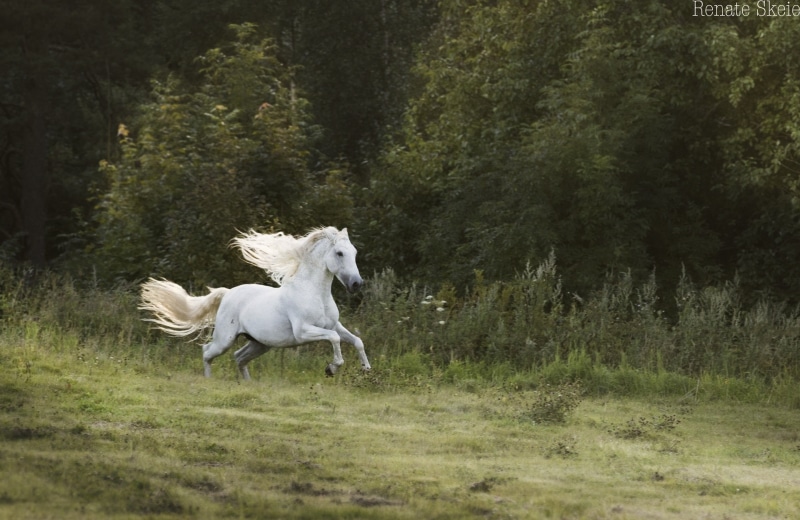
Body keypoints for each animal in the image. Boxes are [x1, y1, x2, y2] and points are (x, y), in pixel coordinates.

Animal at [138, 227, 371, 379]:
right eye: (339, 253)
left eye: (355, 253)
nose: (357, 284)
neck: (315, 294)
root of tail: (227, 293)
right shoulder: (303, 331)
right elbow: (334, 339)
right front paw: (332, 368)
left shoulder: (334, 326)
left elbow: (356, 341)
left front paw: (366, 369)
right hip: (225, 339)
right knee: (207, 351)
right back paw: (209, 381)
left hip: (260, 343)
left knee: (239, 357)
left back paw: (247, 384)